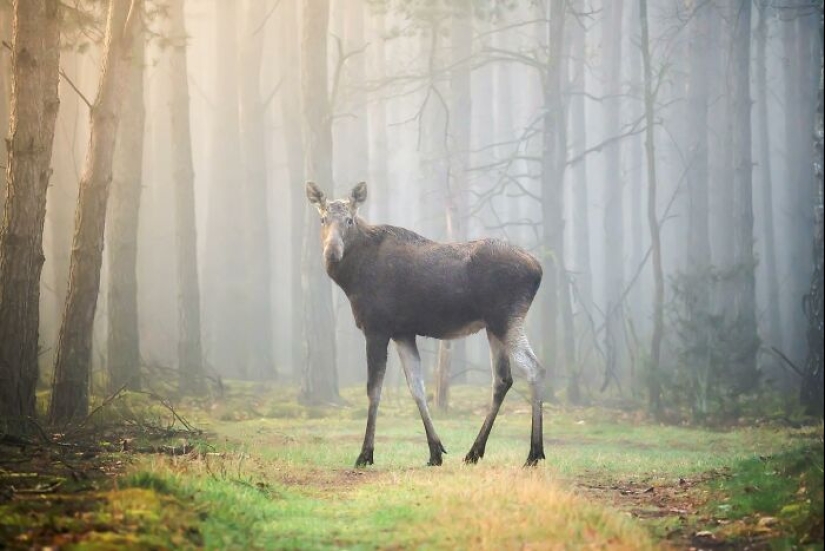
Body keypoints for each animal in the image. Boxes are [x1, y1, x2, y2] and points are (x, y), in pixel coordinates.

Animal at [306, 183, 544, 468]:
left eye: (349, 220)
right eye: (323, 219)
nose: (332, 253)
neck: (351, 279)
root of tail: (539, 270)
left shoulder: (377, 327)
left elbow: (374, 389)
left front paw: (365, 454)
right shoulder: (403, 332)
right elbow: (416, 386)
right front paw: (435, 451)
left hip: (506, 318)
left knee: (533, 367)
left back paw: (534, 453)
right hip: (493, 326)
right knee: (503, 379)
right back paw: (474, 451)